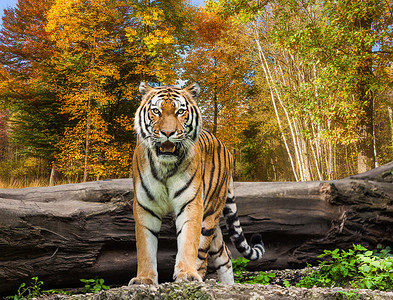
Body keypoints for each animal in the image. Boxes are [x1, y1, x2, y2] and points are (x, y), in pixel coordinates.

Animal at [129, 82, 264, 286]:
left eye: (180, 111)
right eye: (156, 111)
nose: (167, 133)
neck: (166, 167)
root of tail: (225, 148)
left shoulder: (191, 203)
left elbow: (188, 242)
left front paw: (186, 273)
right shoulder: (145, 206)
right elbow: (145, 247)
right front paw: (144, 279)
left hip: (210, 213)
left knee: (204, 253)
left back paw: (198, 276)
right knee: (225, 254)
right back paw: (227, 285)